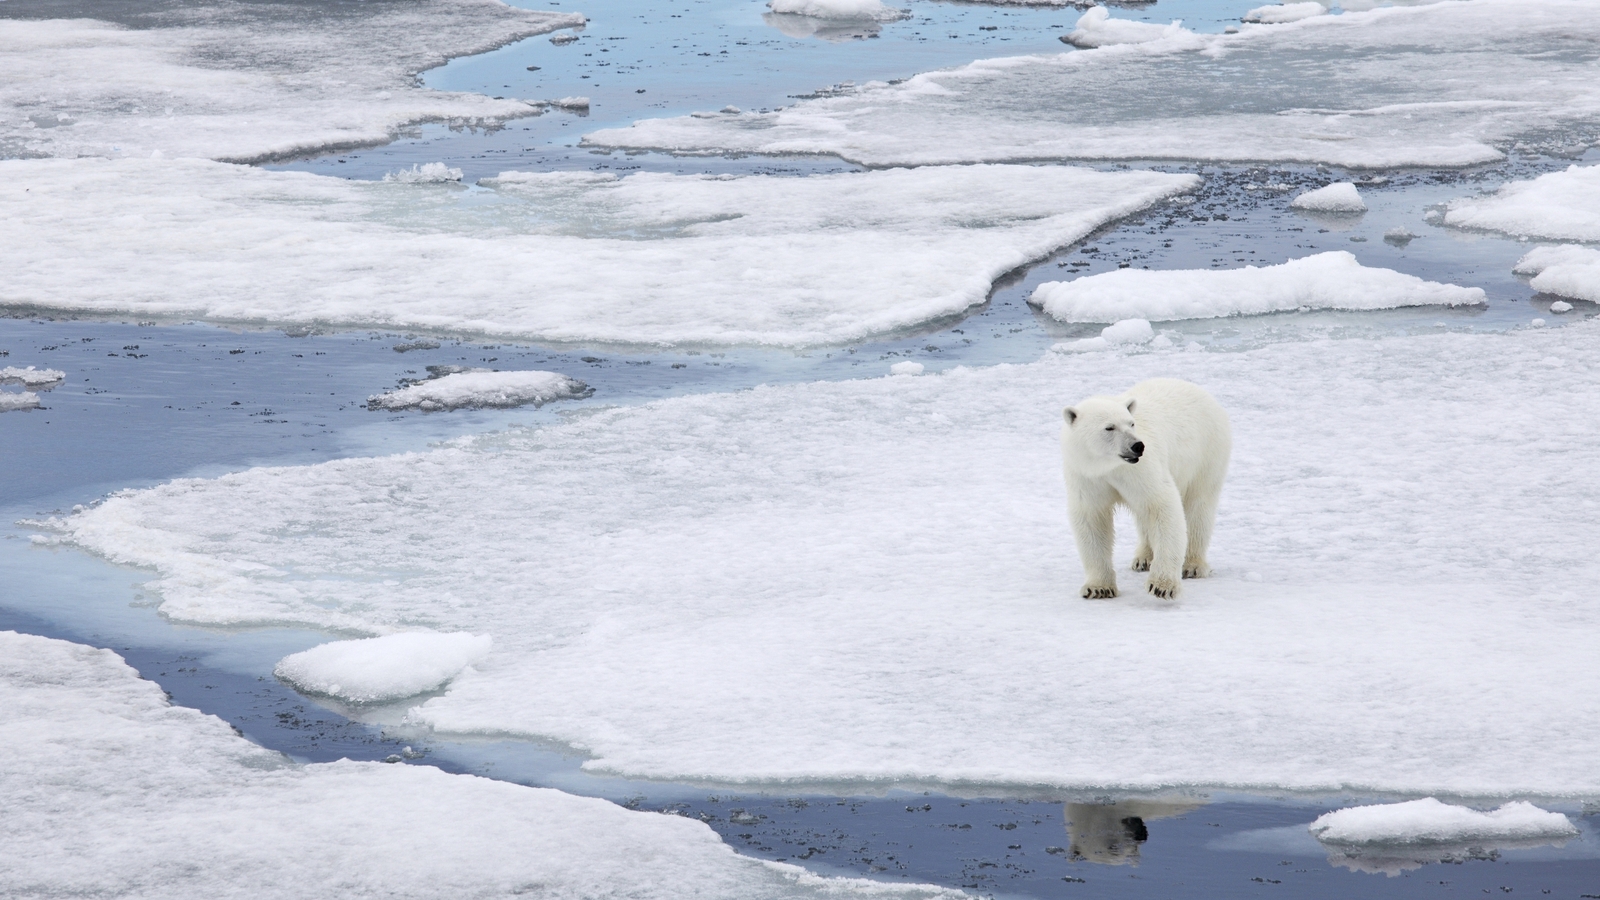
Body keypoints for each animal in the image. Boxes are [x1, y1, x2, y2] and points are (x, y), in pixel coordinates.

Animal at [1068, 376, 1228, 595]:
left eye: (1131, 423)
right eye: (1109, 427)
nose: (1137, 446)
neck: (1109, 467)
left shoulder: (1141, 469)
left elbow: (1161, 504)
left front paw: (1162, 586)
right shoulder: (1087, 477)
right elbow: (1092, 519)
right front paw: (1098, 588)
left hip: (1206, 453)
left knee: (1198, 506)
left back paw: (1192, 565)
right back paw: (1143, 558)